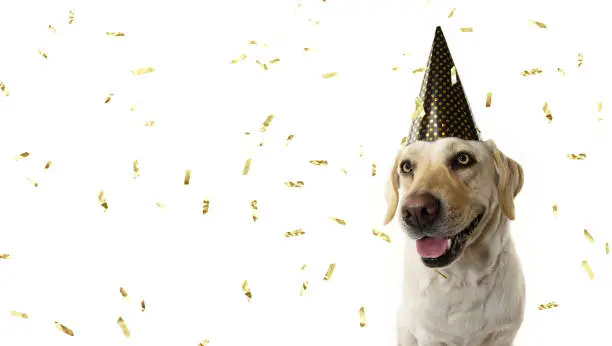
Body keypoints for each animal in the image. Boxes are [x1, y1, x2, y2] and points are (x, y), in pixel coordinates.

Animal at [388, 138, 524, 346]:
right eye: (406, 166)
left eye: (463, 159)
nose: (417, 211)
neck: (466, 276)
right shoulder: (430, 336)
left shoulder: (503, 334)